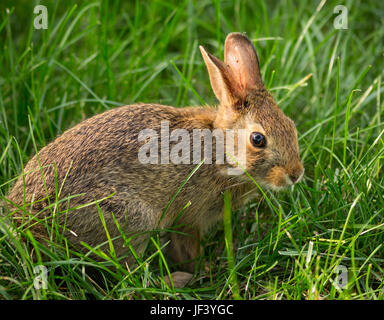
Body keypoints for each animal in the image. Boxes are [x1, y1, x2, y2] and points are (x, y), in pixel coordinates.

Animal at [3, 32, 304, 288]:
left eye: (291, 125)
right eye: (258, 139)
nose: (296, 174)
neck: (220, 150)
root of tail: (25, 223)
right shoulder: (189, 216)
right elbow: (187, 247)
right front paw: (199, 270)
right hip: (130, 218)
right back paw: (175, 280)